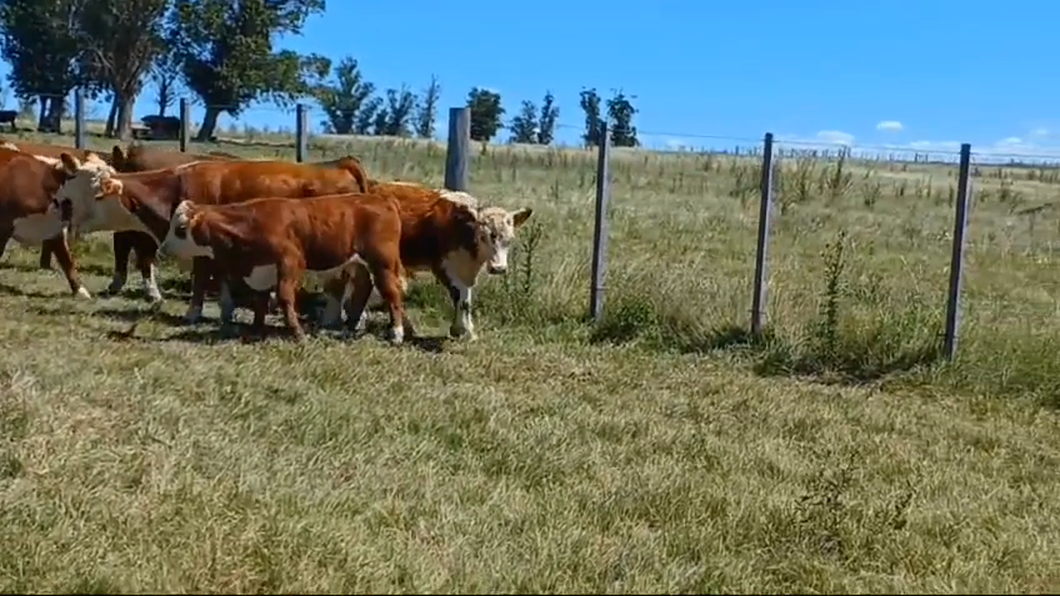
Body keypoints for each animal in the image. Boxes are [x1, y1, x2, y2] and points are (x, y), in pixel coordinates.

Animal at [50, 150, 373, 322]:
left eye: (77, 188)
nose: (56, 202)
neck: (173, 189)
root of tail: (340, 164)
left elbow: (202, 276)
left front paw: (193, 313)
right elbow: (221, 276)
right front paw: (227, 310)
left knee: (343, 281)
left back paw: (334, 317)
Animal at [156, 194, 409, 343]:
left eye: (180, 228)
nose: (163, 249)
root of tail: (382, 199)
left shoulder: (291, 263)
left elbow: (285, 298)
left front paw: (298, 334)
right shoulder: (260, 271)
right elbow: (260, 301)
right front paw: (256, 329)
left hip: (383, 263)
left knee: (392, 293)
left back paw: (396, 333)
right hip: (359, 264)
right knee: (363, 290)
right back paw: (350, 328)